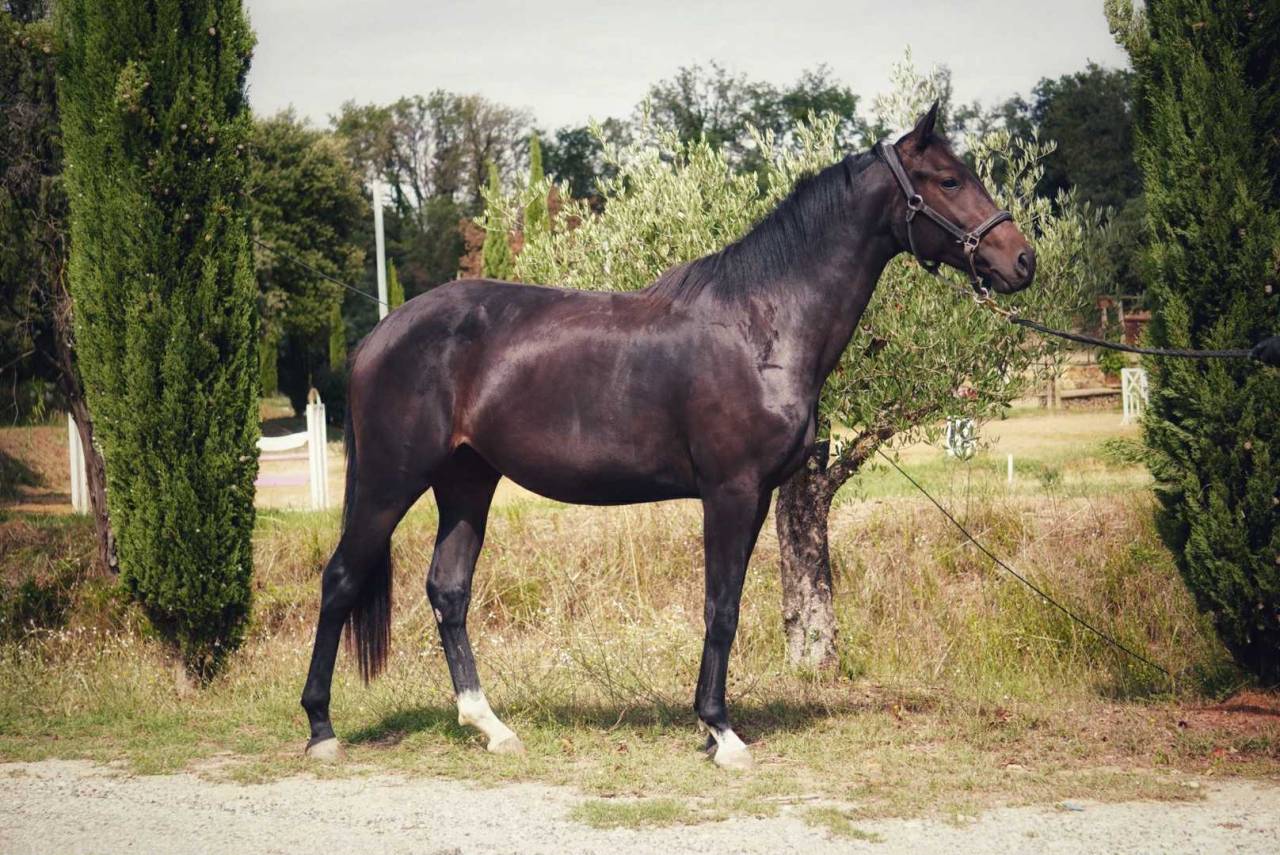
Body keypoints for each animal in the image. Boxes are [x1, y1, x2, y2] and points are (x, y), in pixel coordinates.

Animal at [300, 102, 1037, 770]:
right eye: (948, 179)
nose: (1022, 261)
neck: (761, 323)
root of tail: (381, 333)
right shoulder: (730, 492)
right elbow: (721, 608)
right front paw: (721, 732)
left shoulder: (757, 497)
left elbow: (727, 605)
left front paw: (712, 727)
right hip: (392, 483)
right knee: (340, 579)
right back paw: (321, 728)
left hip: (467, 481)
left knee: (448, 591)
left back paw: (492, 727)